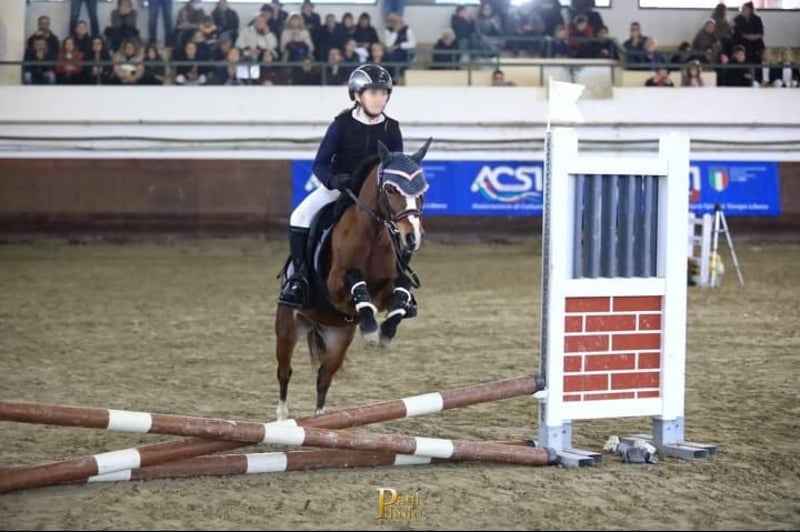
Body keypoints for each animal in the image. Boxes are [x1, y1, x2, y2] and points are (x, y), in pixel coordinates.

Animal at [274, 138, 433, 420]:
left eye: (423, 190)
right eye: (390, 189)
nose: (412, 237)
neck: (374, 234)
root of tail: (317, 323)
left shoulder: (387, 286)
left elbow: (400, 290)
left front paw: (386, 332)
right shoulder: (336, 286)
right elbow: (357, 283)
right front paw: (370, 330)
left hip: (338, 338)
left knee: (324, 377)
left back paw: (321, 421)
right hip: (288, 325)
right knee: (284, 372)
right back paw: (283, 419)